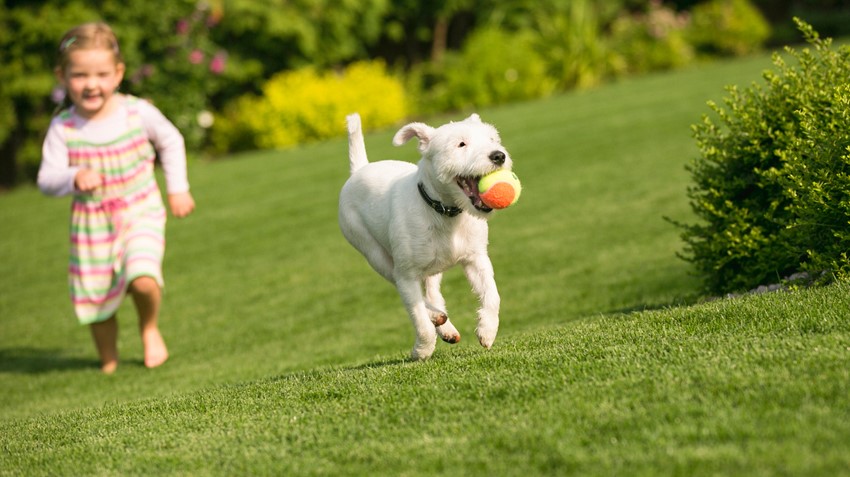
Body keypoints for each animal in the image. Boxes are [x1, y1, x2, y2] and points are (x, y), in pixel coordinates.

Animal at [336, 112, 510, 356]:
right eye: (461, 144)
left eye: (493, 139)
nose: (498, 155)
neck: (445, 212)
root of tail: (360, 169)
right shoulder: (406, 275)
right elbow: (418, 316)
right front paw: (422, 350)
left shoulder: (476, 258)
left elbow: (492, 294)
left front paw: (487, 330)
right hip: (373, 253)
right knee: (403, 286)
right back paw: (435, 317)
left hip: (431, 266)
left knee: (432, 292)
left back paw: (445, 326)